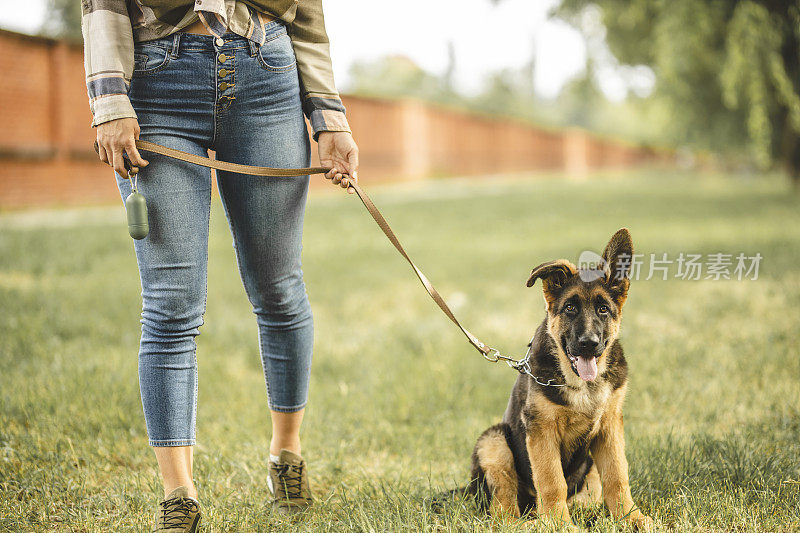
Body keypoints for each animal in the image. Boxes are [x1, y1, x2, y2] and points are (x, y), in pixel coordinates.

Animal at [468, 228, 648, 528]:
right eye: (570, 308)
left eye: (603, 309)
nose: (588, 343)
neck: (582, 385)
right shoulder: (541, 431)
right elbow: (552, 481)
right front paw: (558, 524)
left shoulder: (609, 426)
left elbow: (617, 476)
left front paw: (631, 518)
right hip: (494, 442)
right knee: (503, 506)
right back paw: (526, 523)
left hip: (588, 468)